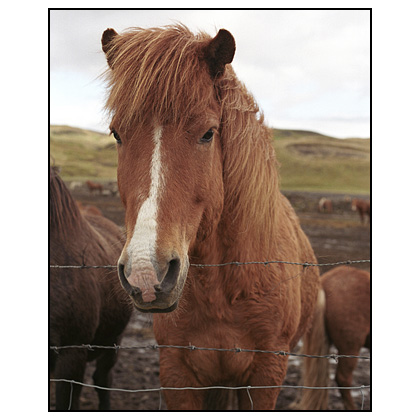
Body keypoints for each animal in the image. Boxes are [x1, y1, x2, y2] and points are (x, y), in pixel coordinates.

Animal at [100, 24, 320, 408]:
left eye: (207, 133)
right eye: (116, 134)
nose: (146, 273)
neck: (226, 288)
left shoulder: (266, 375)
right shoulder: (177, 372)